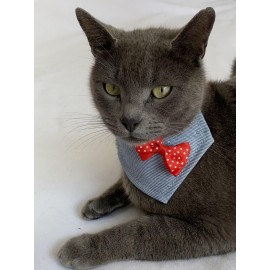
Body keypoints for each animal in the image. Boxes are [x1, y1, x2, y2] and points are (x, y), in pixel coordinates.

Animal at [58, 7, 235, 268]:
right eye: (111, 88)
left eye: (161, 91)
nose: (129, 120)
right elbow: (125, 182)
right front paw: (98, 203)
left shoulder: (219, 226)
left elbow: (139, 232)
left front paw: (82, 247)